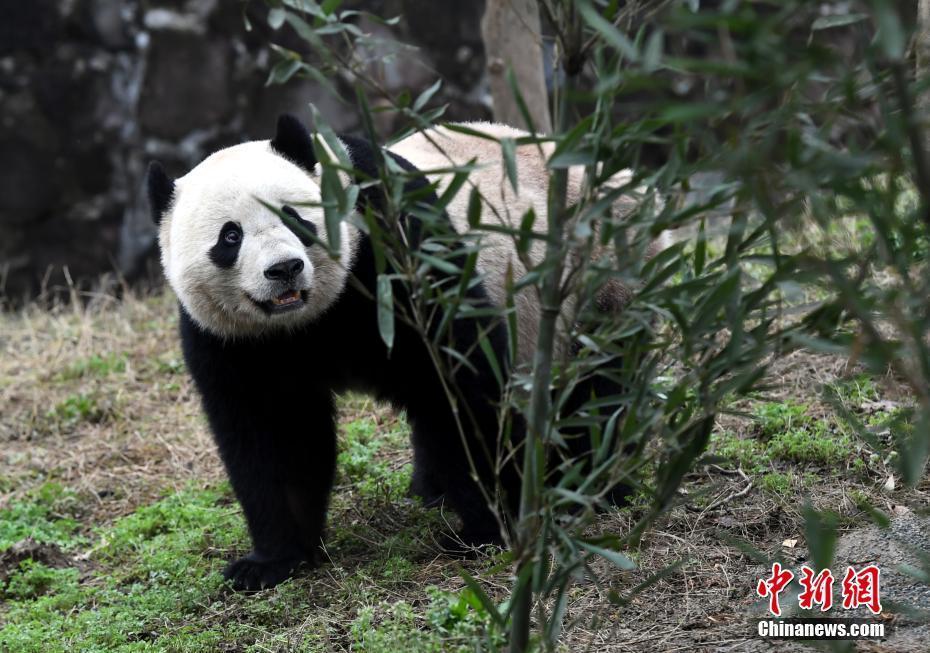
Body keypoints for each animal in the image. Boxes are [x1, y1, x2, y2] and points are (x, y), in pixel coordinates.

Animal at [145, 113, 652, 592]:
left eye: (294, 216)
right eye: (230, 237)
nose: (284, 269)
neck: (305, 321)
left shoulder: (397, 253)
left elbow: (462, 385)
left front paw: (489, 529)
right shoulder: (237, 341)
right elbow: (274, 434)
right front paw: (270, 563)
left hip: (595, 277)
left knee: (592, 392)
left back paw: (590, 487)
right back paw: (433, 492)